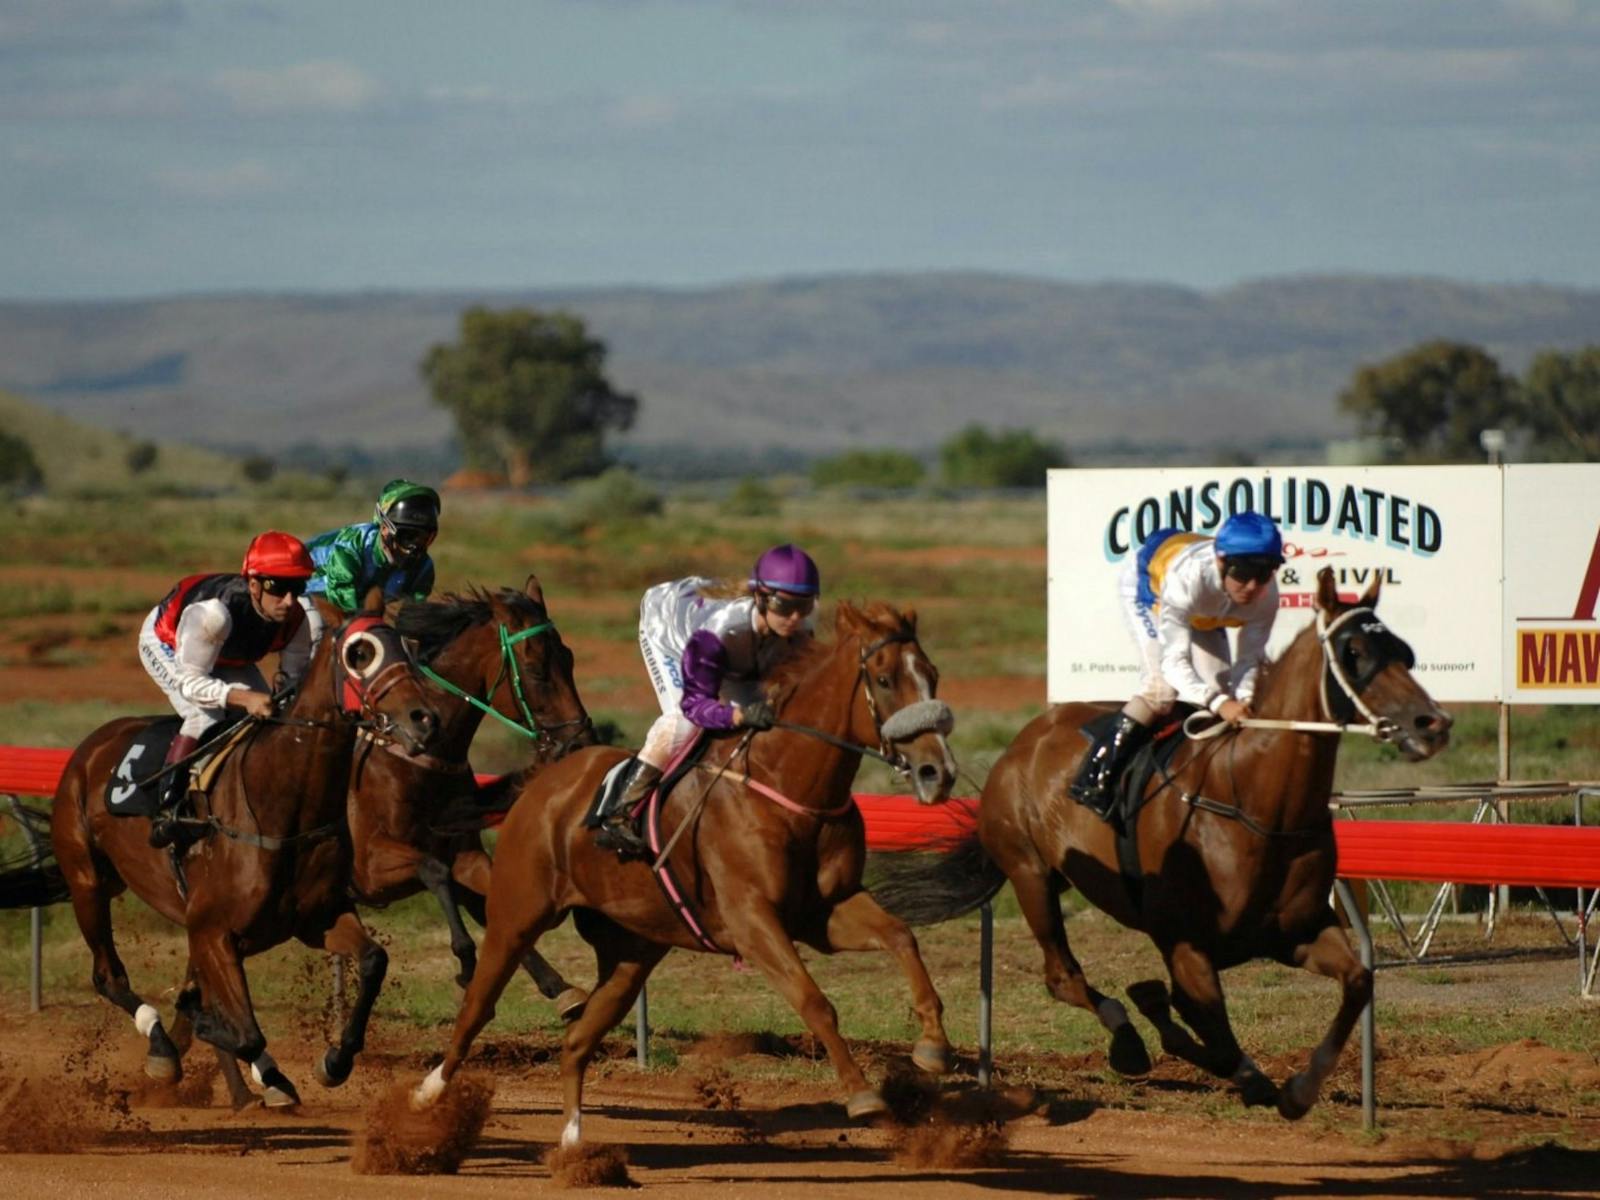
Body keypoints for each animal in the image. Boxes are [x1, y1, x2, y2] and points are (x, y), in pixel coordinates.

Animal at [50, 598, 438, 1113]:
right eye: (359, 653)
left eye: (408, 647)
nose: (424, 719)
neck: (283, 807)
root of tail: (91, 747)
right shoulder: (214, 930)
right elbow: (241, 1028)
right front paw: (206, 1034)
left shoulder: (317, 918)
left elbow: (374, 961)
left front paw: (334, 1061)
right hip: (87, 882)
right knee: (108, 977)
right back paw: (165, 1049)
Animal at [355, 579, 595, 1017]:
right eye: (536, 669)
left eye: (569, 659)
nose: (579, 744)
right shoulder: (370, 869)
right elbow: (436, 872)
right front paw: (466, 964)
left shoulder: (466, 853)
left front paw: (561, 987)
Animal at [412, 601, 960, 1145]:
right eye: (885, 679)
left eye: (933, 674)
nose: (938, 771)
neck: (789, 784)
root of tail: (544, 780)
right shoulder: (751, 920)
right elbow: (813, 999)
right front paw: (862, 1094)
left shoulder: (824, 910)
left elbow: (901, 935)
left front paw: (933, 1047)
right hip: (518, 913)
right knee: (477, 1008)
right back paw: (425, 1096)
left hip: (631, 951)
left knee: (577, 1041)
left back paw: (571, 1140)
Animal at [870, 569, 1459, 1126]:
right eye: (1353, 653)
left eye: (1404, 650)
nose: (1432, 722)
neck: (1255, 802)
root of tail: (1024, 740)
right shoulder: (1186, 945)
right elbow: (1210, 1030)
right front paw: (1242, 1073)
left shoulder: (1298, 930)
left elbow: (1357, 980)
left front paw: (1299, 1089)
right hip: (1029, 873)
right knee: (1063, 977)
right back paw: (1127, 1040)